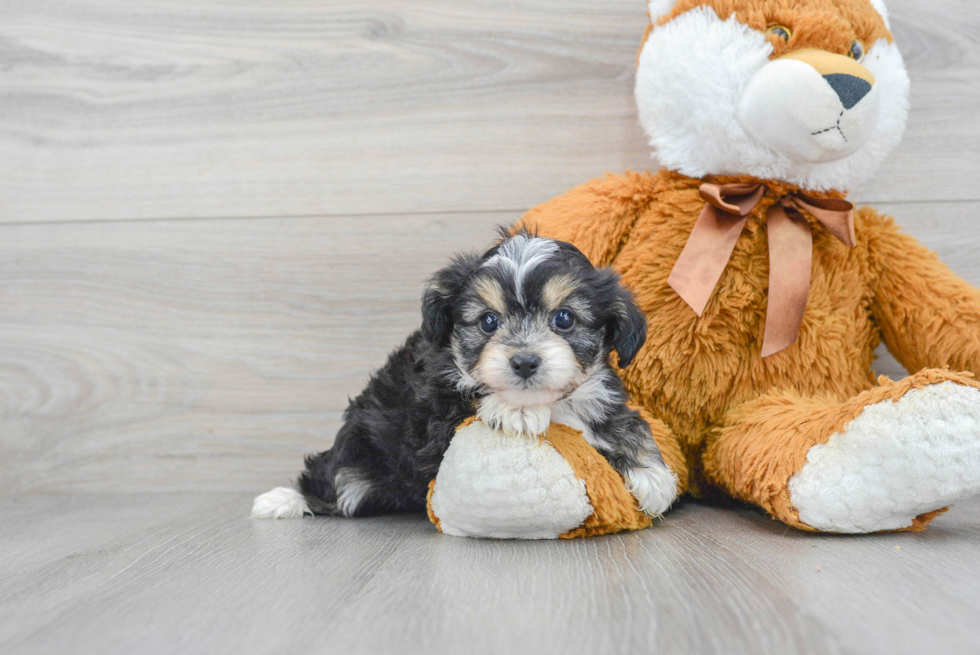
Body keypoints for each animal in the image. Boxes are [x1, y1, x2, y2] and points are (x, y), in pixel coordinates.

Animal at [253, 231, 676, 524]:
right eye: (488, 322)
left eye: (564, 319)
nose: (524, 362)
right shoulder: (431, 419)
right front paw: (516, 410)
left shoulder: (600, 392)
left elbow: (623, 421)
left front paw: (653, 477)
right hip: (357, 454)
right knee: (329, 477)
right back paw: (281, 500)